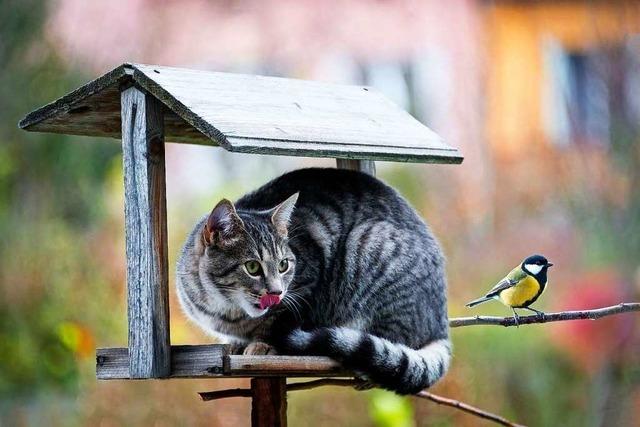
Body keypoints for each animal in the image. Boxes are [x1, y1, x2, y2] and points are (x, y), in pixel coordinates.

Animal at [175, 167, 450, 394]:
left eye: (284, 265)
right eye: (252, 267)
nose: (276, 292)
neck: (227, 311)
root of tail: (441, 323)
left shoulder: (307, 284)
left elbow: (280, 321)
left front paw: (263, 344)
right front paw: (235, 344)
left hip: (369, 245)